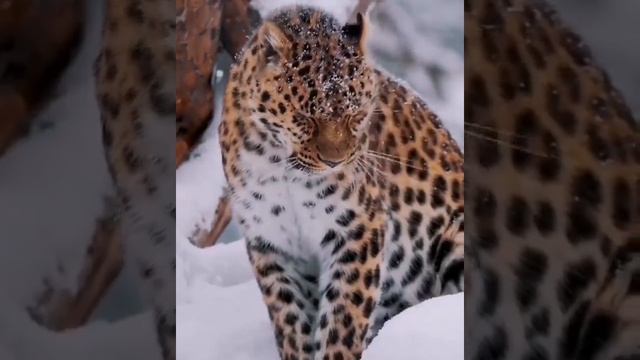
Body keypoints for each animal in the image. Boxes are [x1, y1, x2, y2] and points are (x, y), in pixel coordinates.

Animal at [220, 5, 464, 360]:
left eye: (356, 116)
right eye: (305, 118)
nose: (334, 162)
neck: (282, 167)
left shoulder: (357, 229)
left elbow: (343, 317)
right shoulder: (271, 242)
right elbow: (289, 317)